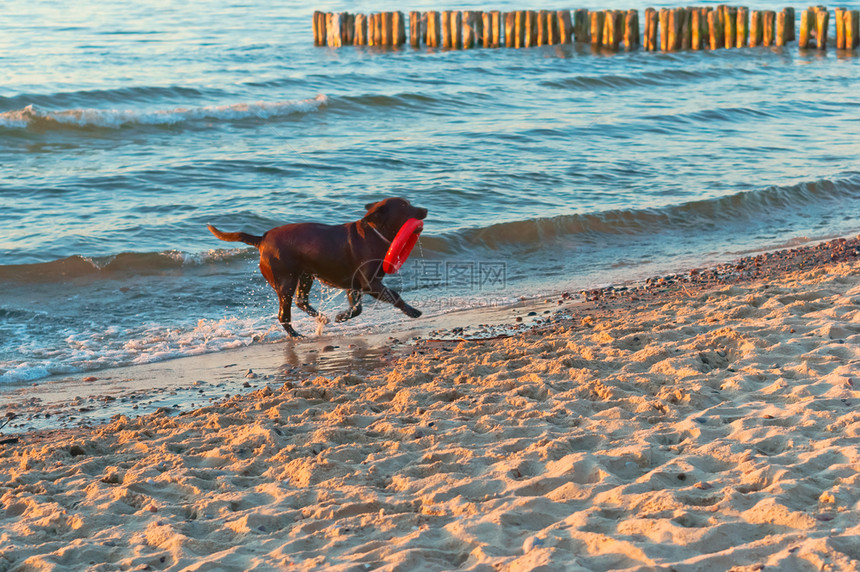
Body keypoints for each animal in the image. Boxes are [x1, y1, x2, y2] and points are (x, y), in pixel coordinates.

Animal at [209, 199, 430, 338]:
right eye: (405, 205)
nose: (426, 210)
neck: (375, 232)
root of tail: (262, 240)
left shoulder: (355, 285)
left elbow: (357, 308)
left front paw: (341, 317)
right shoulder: (370, 284)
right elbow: (395, 296)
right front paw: (413, 311)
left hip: (306, 276)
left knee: (301, 301)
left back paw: (322, 318)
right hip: (286, 281)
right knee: (284, 315)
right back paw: (297, 335)